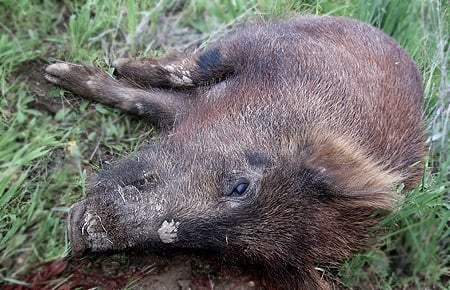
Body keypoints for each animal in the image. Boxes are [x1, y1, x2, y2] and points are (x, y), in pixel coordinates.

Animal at [44, 16, 424, 290]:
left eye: (219, 251)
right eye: (240, 187)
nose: (81, 232)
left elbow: (144, 100)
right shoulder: (265, 50)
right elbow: (167, 81)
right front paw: (58, 73)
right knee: (189, 65)